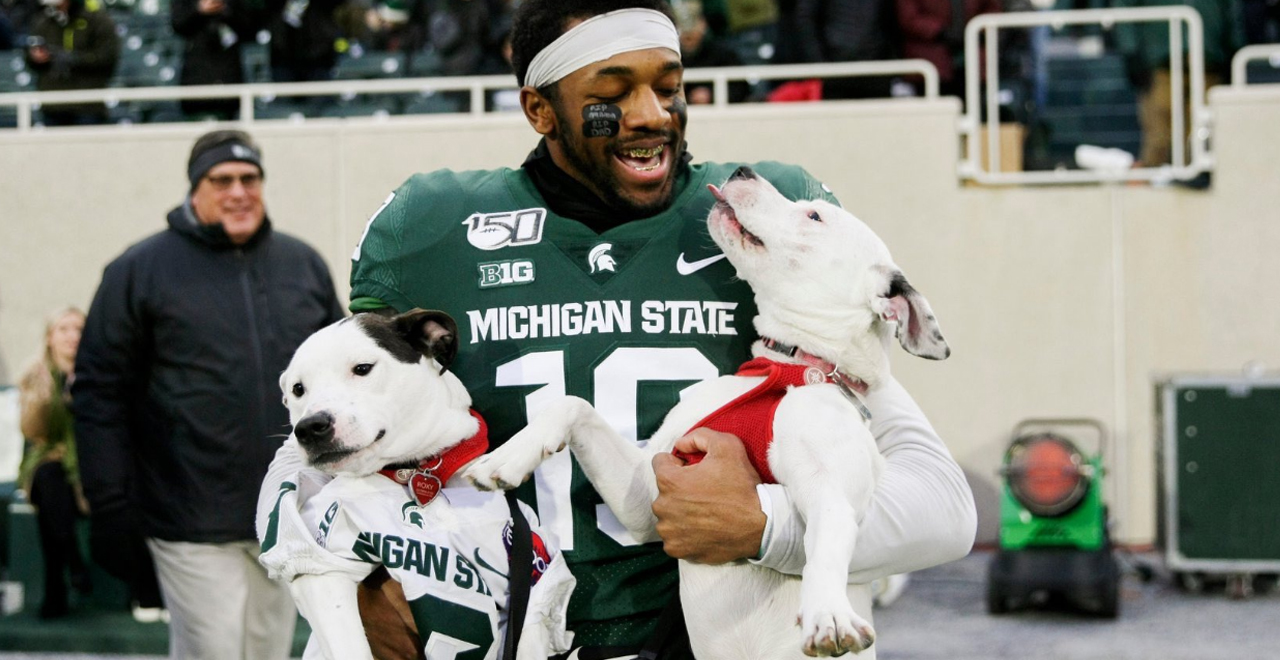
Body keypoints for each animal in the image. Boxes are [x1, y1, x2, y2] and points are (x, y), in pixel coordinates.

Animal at [258, 310, 576, 660]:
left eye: (363, 368)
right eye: (298, 389)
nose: (309, 427)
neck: (420, 473)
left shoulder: (535, 594)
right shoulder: (323, 564)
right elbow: (350, 644)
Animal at [465, 167, 947, 654]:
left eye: (814, 216)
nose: (742, 170)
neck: (790, 368)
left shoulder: (831, 491)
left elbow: (827, 542)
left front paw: (827, 611)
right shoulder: (644, 495)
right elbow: (572, 405)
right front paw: (507, 456)